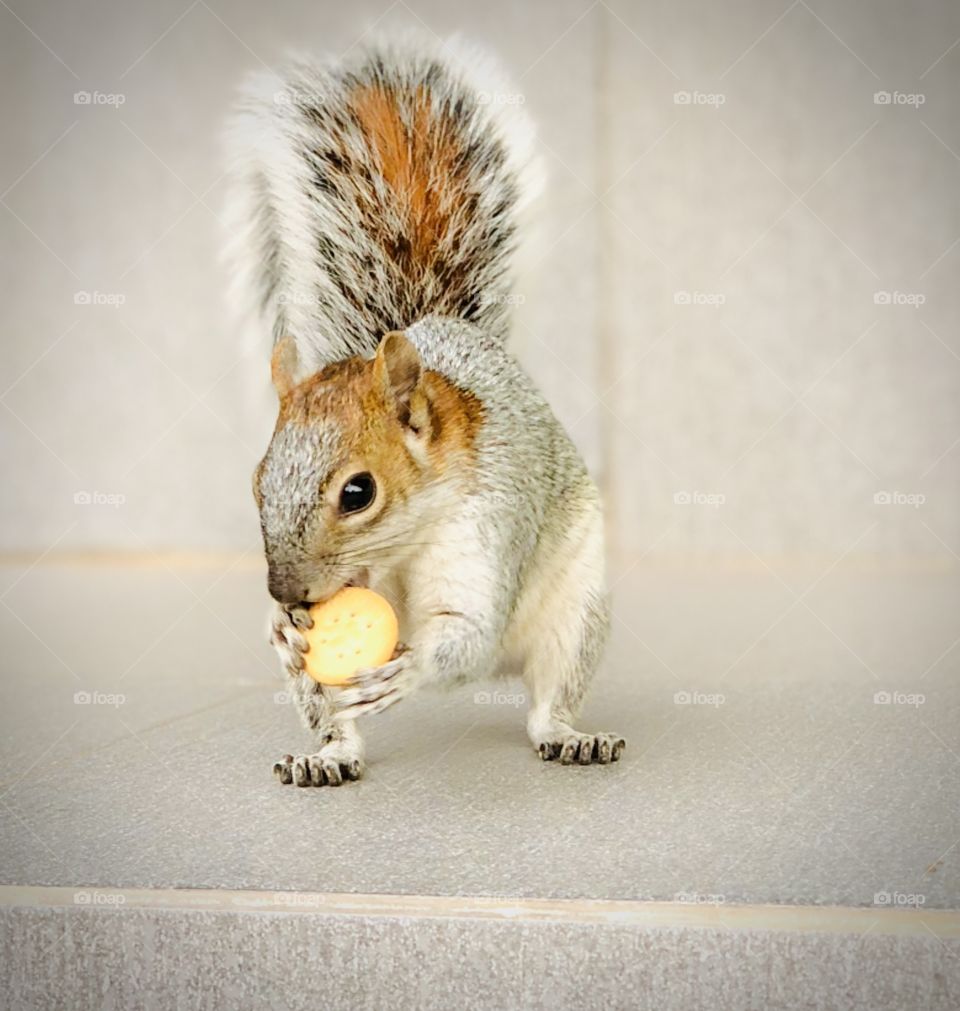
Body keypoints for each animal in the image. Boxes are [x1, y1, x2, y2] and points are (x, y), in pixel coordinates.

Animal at [224, 36, 625, 787]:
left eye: (358, 492)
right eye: (257, 483)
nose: (287, 594)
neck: (405, 537)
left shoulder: (491, 518)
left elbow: (466, 631)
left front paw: (408, 672)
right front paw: (281, 630)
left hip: (576, 611)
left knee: (549, 699)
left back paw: (571, 736)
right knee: (336, 726)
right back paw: (327, 757)